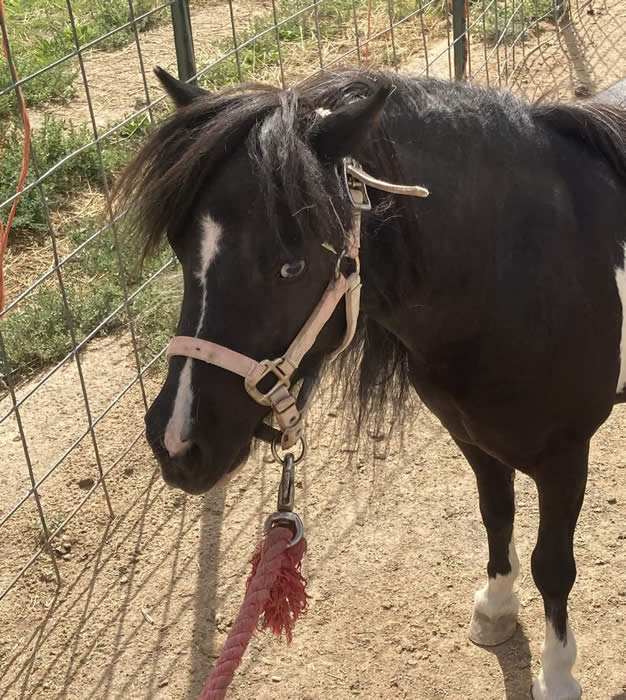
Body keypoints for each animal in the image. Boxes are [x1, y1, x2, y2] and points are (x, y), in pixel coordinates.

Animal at [113, 66, 626, 700]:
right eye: (182, 252)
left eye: (292, 265)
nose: (178, 442)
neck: (526, 268)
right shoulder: (472, 438)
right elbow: (496, 514)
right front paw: (496, 608)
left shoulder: (564, 457)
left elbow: (553, 566)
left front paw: (557, 676)